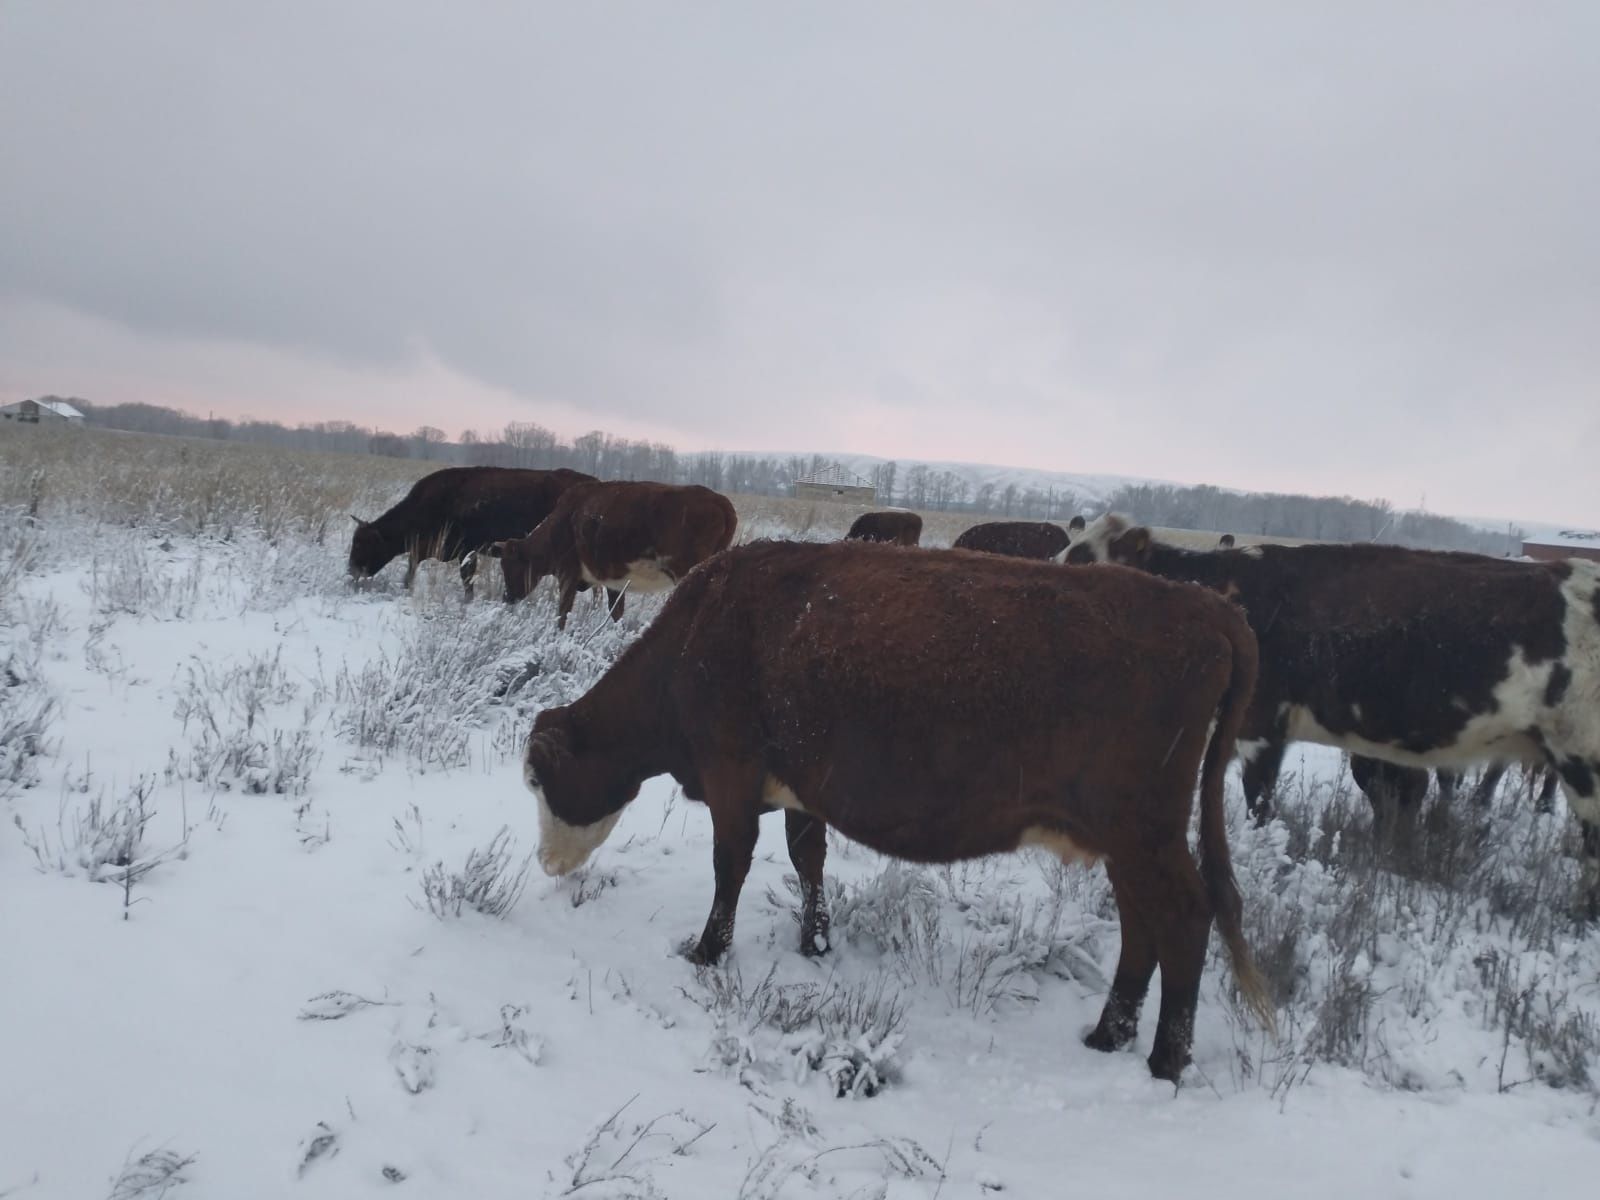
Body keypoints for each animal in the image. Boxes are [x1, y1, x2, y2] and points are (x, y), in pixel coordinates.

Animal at [483, 480, 739, 630]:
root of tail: (718, 499)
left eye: (510, 566)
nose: (507, 597)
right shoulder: (614, 581)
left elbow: (562, 613)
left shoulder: (567, 572)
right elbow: (616, 612)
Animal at [524, 540, 1273, 1088]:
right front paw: (815, 944)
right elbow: (807, 860)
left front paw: (707, 951)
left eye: (536, 778)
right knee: (1143, 923)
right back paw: (1107, 1034)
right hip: (1124, 838)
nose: (545, 865)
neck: (703, 627)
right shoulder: (801, 792)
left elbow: (729, 866)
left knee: (1184, 916)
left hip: (1142, 829)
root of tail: (1208, 607)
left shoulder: (730, 776)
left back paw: (1165, 1061)